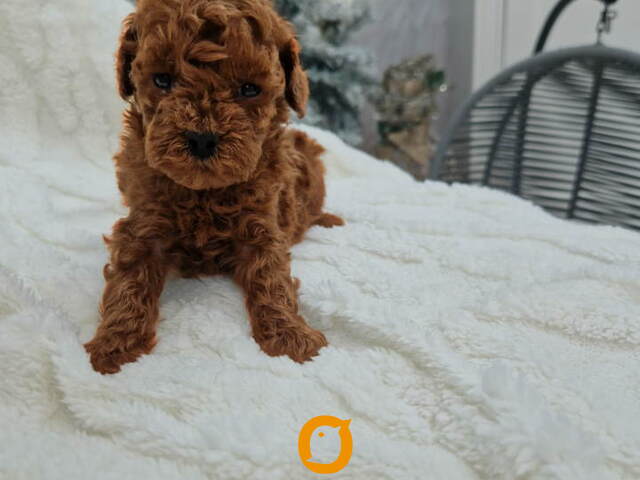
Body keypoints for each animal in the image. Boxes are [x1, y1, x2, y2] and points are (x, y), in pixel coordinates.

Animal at [84, 0, 344, 374]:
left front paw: (291, 335)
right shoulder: (144, 224)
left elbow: (271, 278)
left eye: (249, 89)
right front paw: (116, 343)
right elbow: (130, 279)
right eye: (162, 80)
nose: (202, 139)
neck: (204, 192)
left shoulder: (263, 227)